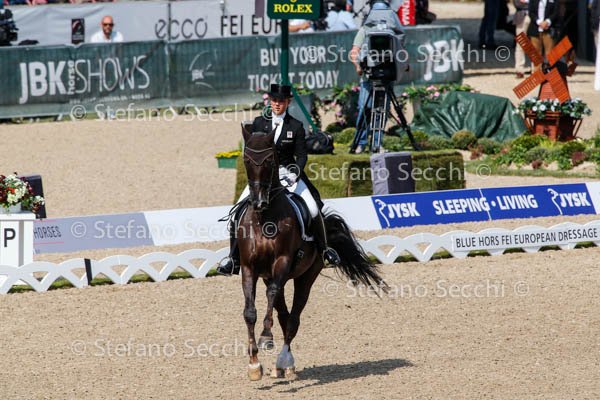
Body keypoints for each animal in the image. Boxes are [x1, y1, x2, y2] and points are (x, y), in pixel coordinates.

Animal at [238, 128, 386, 381]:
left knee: (293, 318)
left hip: (307, 275)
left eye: (269, 160)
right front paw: (254, 365)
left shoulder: (282, 262)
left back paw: (284, 361)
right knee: (283, 314)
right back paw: (282, 365)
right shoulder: (249, 268)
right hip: (270, 275)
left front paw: (266, 338)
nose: (258, 202)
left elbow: (273, 301)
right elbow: (250, 312)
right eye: (247, 160)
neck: (265, 218)